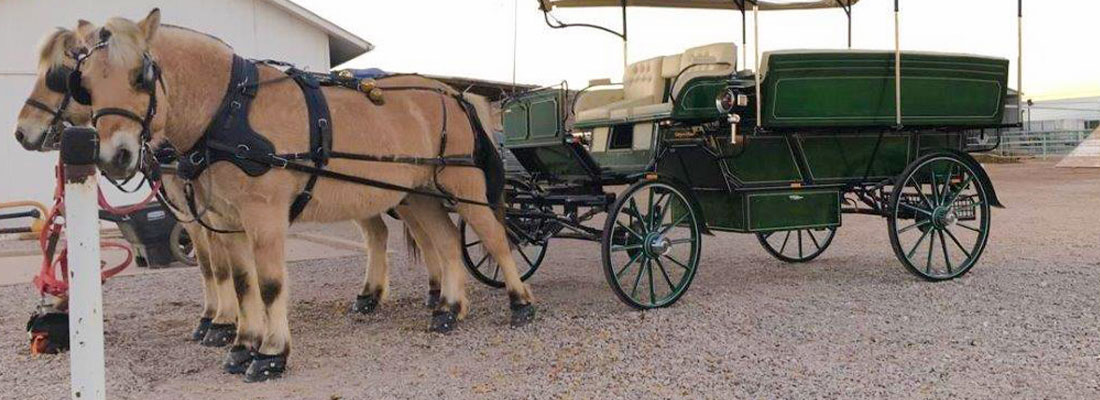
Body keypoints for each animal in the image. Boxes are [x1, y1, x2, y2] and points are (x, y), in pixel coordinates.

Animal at [71, 10, 535, 382]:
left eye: (141, 76)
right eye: (86, 84)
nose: (115, 156)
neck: (230, 110)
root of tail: (453, 93)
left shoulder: (264, 217)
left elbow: (270, 284)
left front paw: (271, 354)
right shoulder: (225, 221)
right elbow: (241, 283)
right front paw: (242, 345)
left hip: (462, 185)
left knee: (493, 238)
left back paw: (519, 303)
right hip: (418, 193)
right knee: (445, 242)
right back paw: (449, 310)